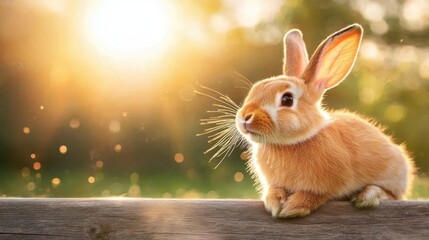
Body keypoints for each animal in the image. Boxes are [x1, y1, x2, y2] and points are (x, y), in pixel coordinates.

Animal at [234, 23, 414, 218]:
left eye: (287, 99)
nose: (244, 117)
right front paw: (274, 202)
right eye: (254, 89)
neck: (292, 142)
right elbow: (274, 190)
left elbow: (315, 195)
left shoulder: (331, 185)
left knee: (392, 195)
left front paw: (293, 207)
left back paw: (367, 196)